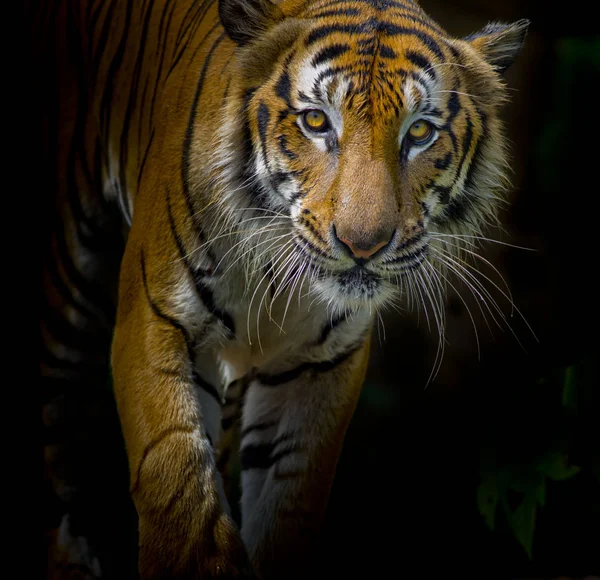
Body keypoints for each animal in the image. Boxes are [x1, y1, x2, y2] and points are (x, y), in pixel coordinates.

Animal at [36, 0, 524, 576]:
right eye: (316, 121)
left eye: (420, 131)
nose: (363, 244)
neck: (273, 278)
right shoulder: (155, 322)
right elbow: (179, 486)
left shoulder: (321, 363)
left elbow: (288, 503)